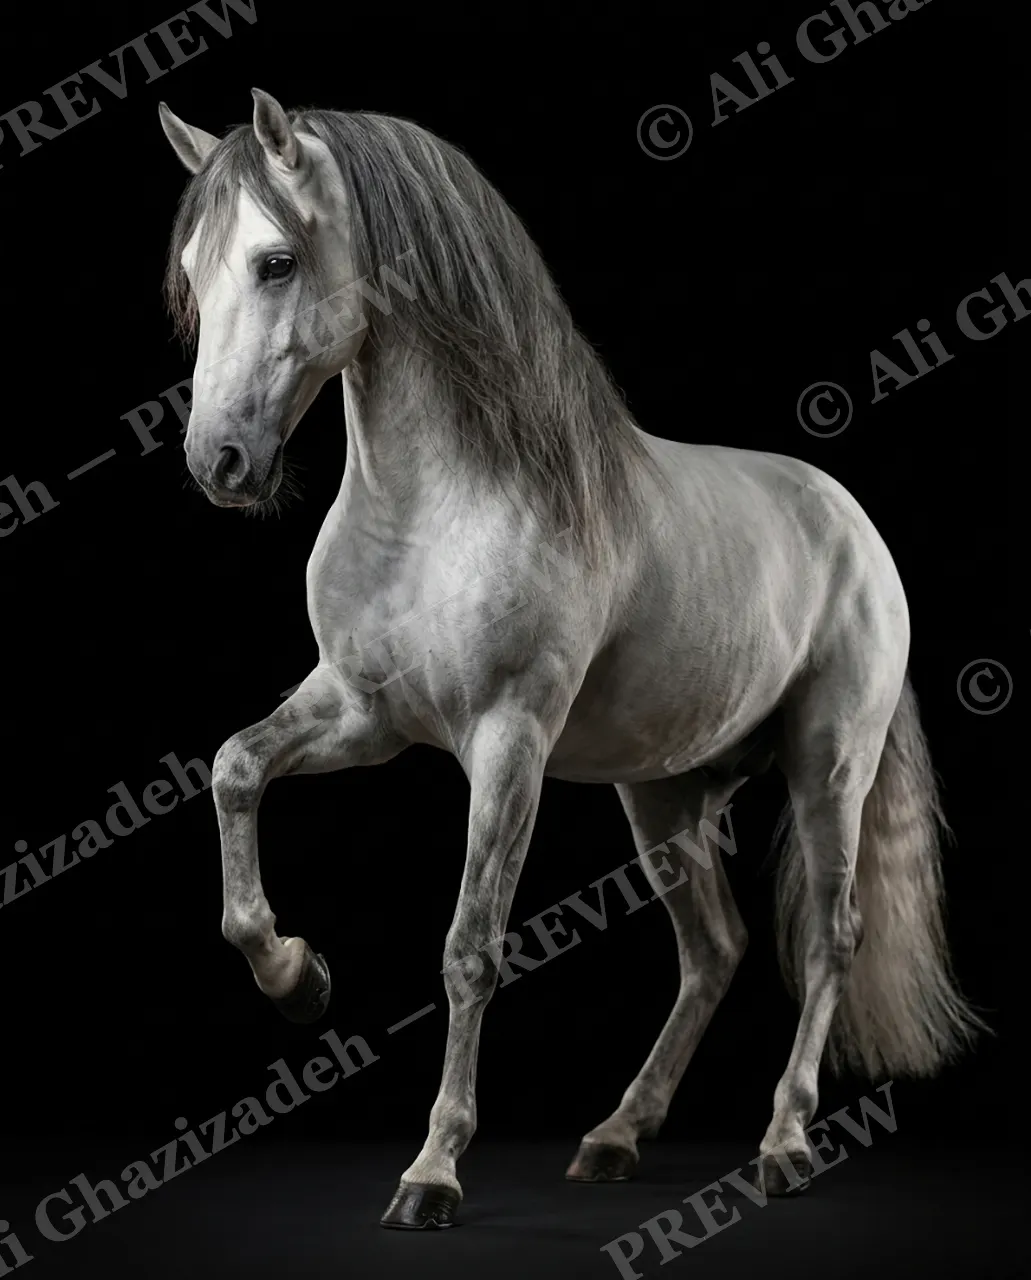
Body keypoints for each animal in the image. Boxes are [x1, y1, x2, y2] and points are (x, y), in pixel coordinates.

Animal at [157, 88, 983, 1230]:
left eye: (274, 262)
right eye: (193, 274)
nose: (218, 463)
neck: (438, 510)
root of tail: (849, 521)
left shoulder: (508, 742)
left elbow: (470, 946)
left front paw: (431, 1171)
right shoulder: (361, 714)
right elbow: (235, 767)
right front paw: (296, 976)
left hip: (829, 768)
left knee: (827, 938)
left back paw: (781, 1142)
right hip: (664, 792)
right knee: (713, 948)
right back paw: (615, 1135)